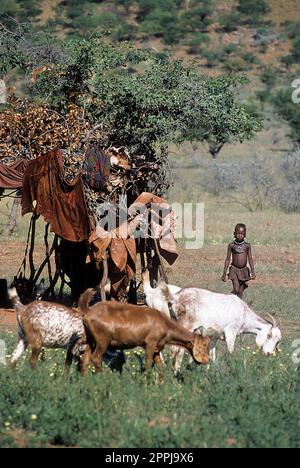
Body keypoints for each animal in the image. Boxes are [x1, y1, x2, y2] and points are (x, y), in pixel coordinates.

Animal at [78, 288, 210, 372]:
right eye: (204, 345)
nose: (206, 360)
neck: (165, 324)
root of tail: (89, 310)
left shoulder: (157, 347)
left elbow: (160, 365)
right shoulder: (150, 343)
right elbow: (148, 363)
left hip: (90, 339)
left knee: (85, 359)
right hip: (103, 339)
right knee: (96, 358)